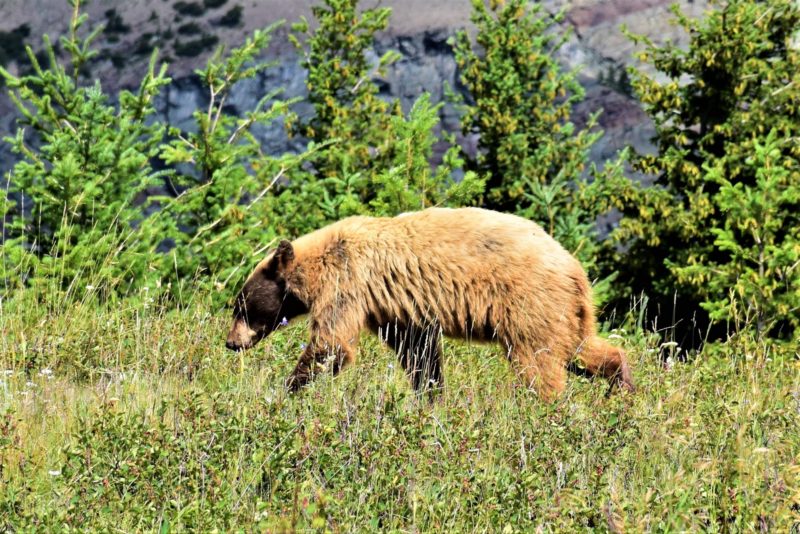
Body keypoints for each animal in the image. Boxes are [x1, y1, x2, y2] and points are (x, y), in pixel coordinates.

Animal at [227, 207, 636, 400]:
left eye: (241, 306)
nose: (231, 342)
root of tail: (575, 269)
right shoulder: (396, 308)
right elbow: (418, 351)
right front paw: (430, 395)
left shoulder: (349, 283)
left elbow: (332, 345)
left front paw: (284, 390)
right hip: (563, 311)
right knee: (583, 350)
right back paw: (622, 385)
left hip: (528, 303)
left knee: (540, 363)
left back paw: (544, 406)